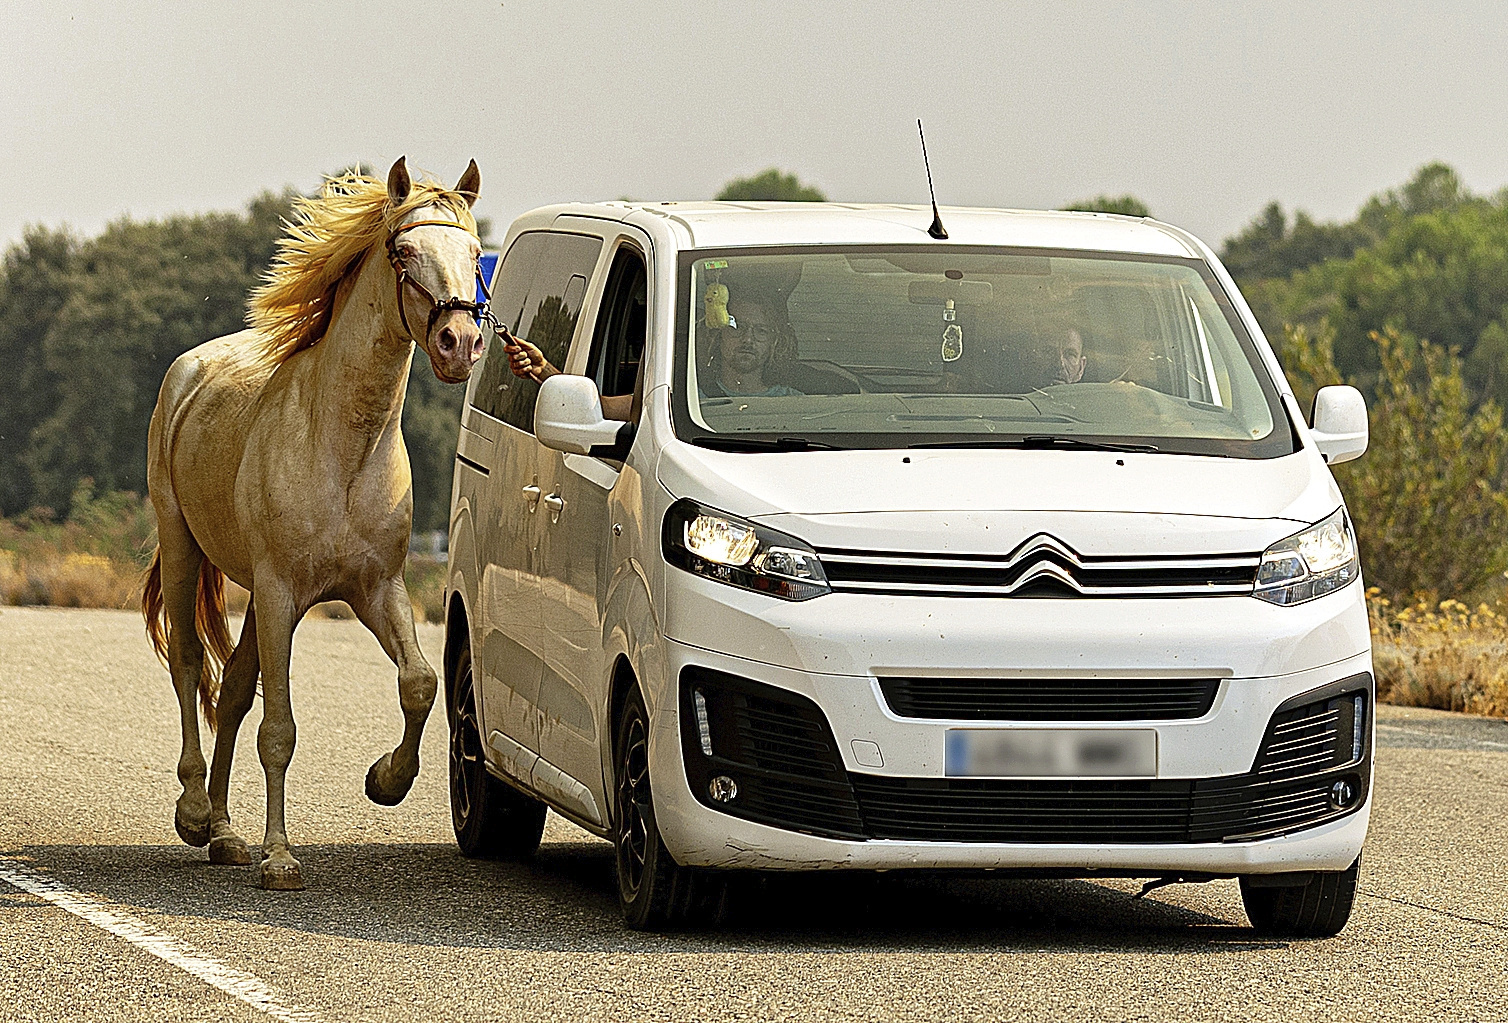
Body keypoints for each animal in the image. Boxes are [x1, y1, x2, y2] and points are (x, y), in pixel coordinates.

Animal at [141, 157, 486, 890]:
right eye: (404, 251)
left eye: (475, 256)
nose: (459, 343)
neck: (341, 446)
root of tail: (189, 370)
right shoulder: (279, 592)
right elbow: (279, 729)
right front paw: (279, 857)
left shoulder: (376, 589)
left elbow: (419, 683)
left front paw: (386, 780)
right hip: (186, 545)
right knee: (188, 664)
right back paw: (195, 812)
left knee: (232, 689)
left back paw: (224, 833)